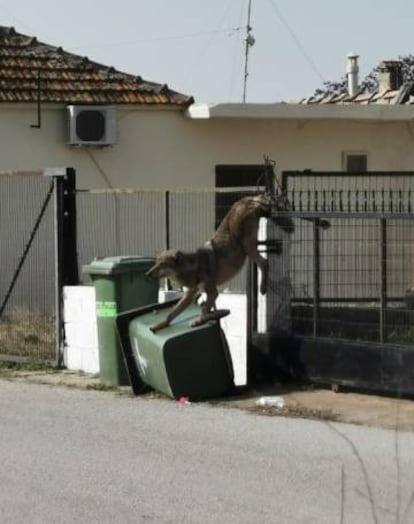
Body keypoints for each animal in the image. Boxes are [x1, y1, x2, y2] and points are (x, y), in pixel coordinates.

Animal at [146, 192, 294, 332]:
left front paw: (199, 320)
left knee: (264, 262)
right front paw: (159, 325)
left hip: (246, 245)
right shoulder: (189, 295)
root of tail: (245, 199)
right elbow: (171, 313)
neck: (192, 267)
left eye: (162, 264)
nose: (147, 274)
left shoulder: (212, 292)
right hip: (248, 246)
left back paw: (262, 288)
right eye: (155, 263)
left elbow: (205, 308)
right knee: (264, 261)